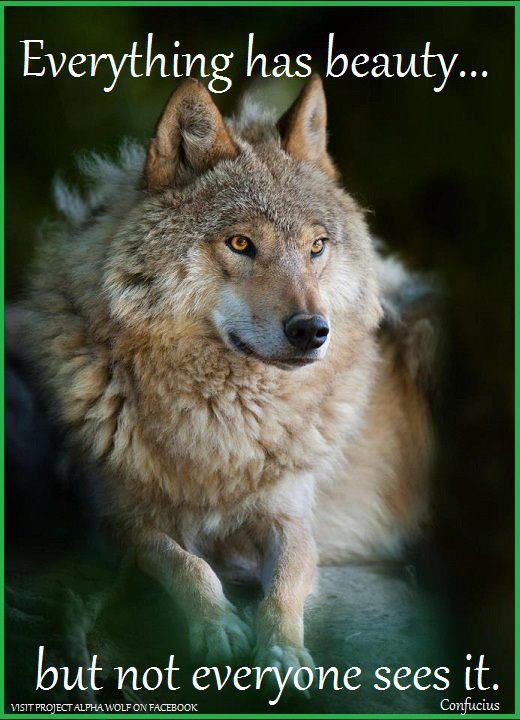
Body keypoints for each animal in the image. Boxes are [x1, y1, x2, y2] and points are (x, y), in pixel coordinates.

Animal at [26, 76, 436, 671]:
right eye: (241, 243)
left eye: (316, 247)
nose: (313, 330)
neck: (225, 423)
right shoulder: (115, 520)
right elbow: (185, 563)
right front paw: (217, 624)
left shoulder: (291, 515)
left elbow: (286, 580)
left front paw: (283, 648)